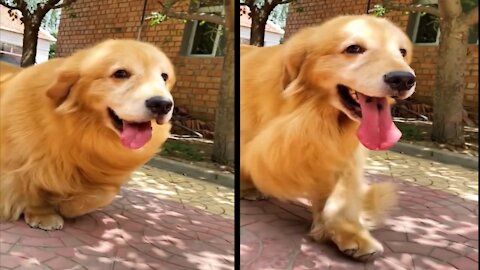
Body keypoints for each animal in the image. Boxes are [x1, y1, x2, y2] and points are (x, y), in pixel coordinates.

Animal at [0, 39, 176, 230]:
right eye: (120, 73)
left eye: (164, 77)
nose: (162, 104)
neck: (81, 130)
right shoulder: (22, 163)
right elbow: (32, 186)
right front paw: (43, 214)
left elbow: (100, 194)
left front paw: (66, 204)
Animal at [240, 15, 416, 262]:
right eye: (354, 48)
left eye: (402, 52)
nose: (403, 79)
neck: (314, 112)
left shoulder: (341, 151)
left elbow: (342, 193)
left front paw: (350, 232)